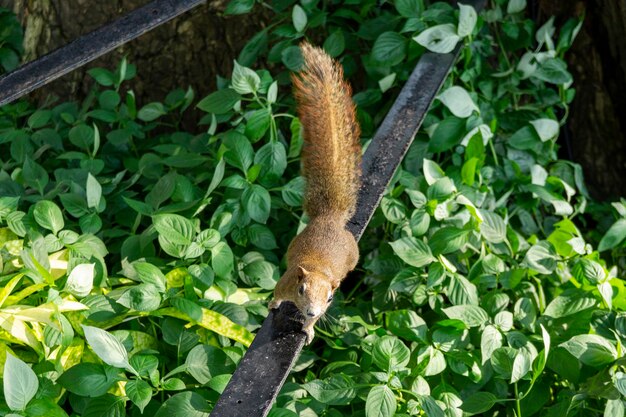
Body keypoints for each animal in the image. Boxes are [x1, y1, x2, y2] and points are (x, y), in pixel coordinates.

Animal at [268, 42, 360, 342]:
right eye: (301, 290)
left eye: (330, 299)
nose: (311, 311)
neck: (318, 269)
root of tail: (330, 218)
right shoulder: (285, 282)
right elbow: (276, 294)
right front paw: (272, 305)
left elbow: (312, 324)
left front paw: (308, 330)